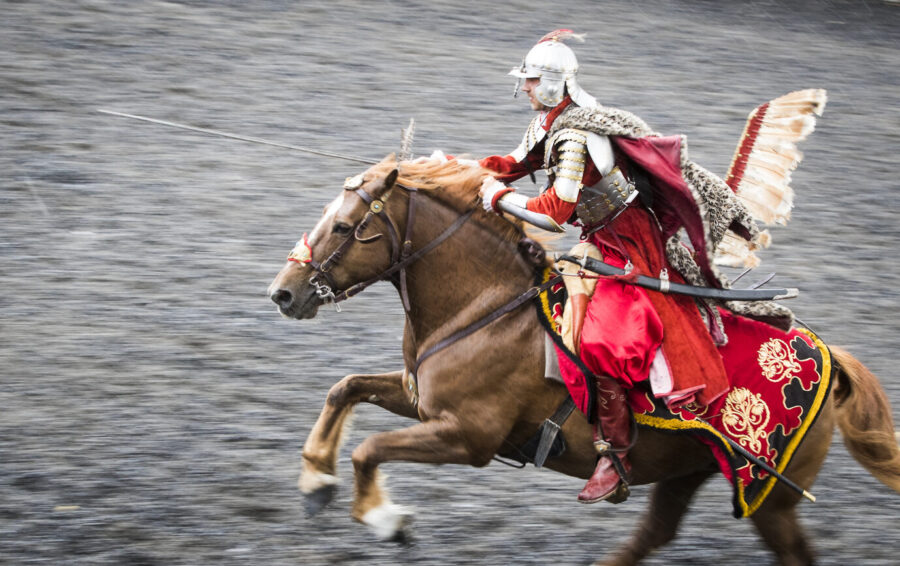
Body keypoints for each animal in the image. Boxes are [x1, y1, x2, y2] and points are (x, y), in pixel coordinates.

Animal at [268, 156, 900, 566]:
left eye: (345, 226)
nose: (284, 294)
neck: (485, 308)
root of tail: (830, 357)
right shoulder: (422, 401)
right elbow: (345, 387)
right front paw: (315, 479)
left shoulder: (468, 436)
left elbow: (369, 448)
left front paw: (385, 519)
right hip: (689, 470)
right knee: (655, 534)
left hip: (773, 500)